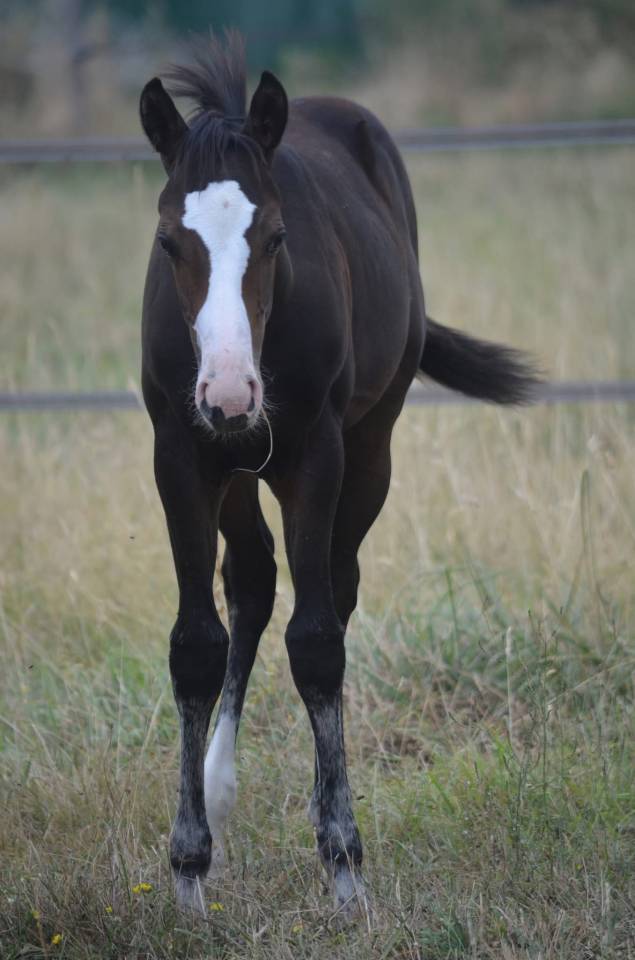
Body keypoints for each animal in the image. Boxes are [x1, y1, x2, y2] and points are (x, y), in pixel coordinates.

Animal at [139, 32, 539, 914]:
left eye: (276, 237)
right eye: (170, 243)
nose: (229, 393)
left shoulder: (314, 455)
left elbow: (317, 642)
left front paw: (344, 864)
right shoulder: (181, 455)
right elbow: (194, 644)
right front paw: (187, 872)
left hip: (367, 446)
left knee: (334, 589)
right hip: (236, 468)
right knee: (252, 582)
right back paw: (218, 794)